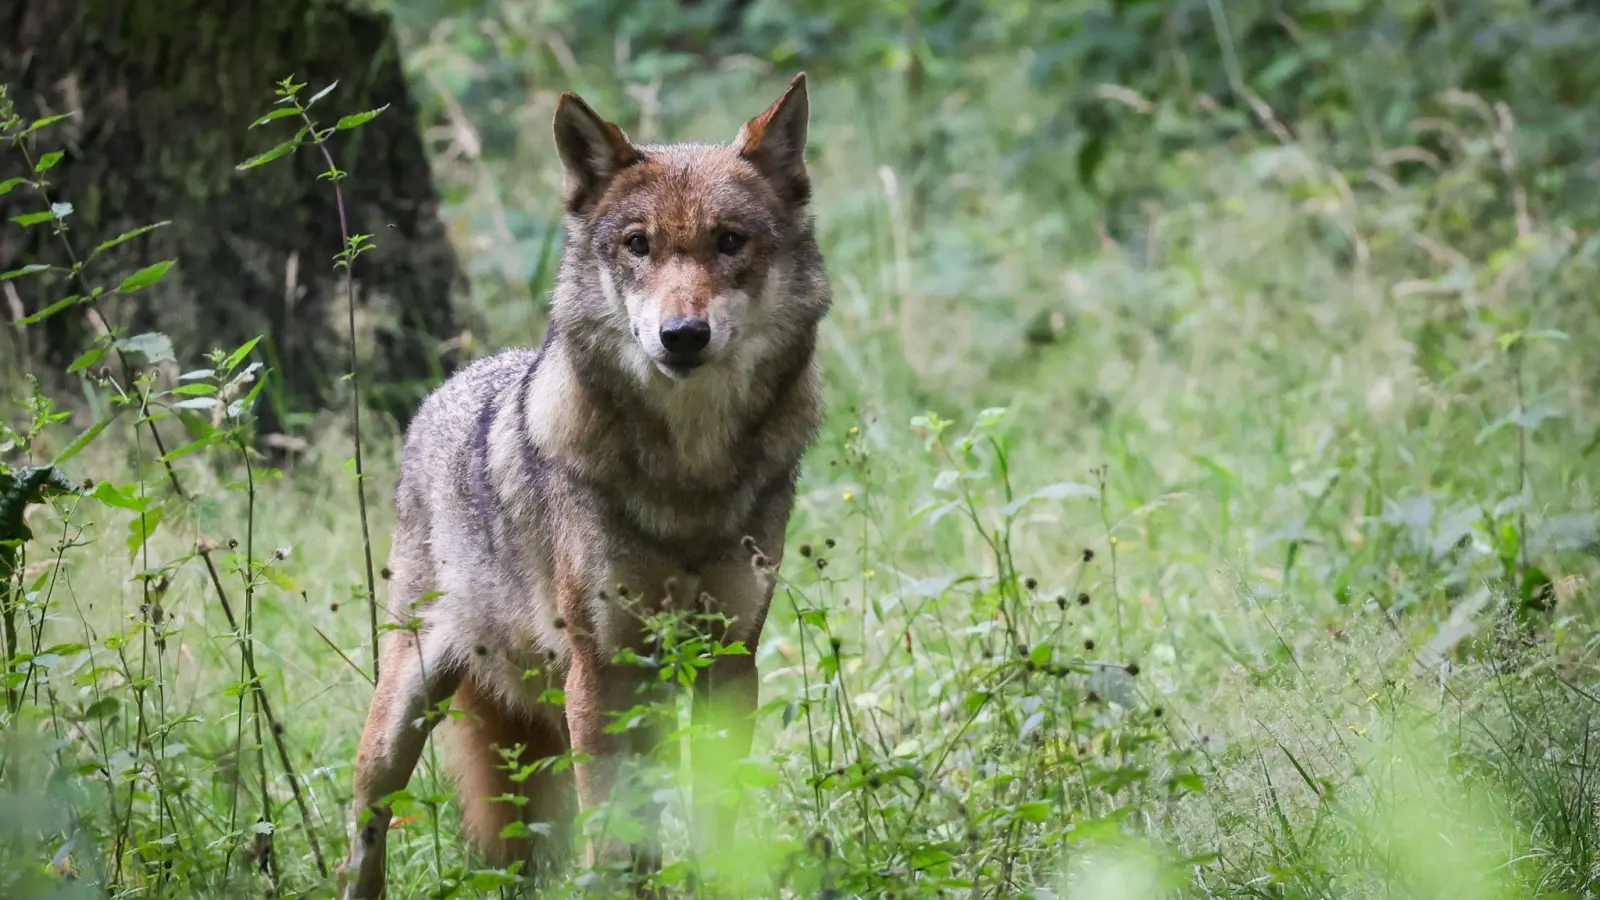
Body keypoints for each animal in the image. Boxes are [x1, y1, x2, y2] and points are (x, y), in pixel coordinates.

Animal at [337, 73, 829, 898]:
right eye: (638, 245)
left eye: (730, 241)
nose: (682, 336)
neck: (688, 477)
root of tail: (446, 390)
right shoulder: (602, 672)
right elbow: (612, 835)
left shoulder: (729, 661)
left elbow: (716, 821)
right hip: (404, 715)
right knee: (366, 834)